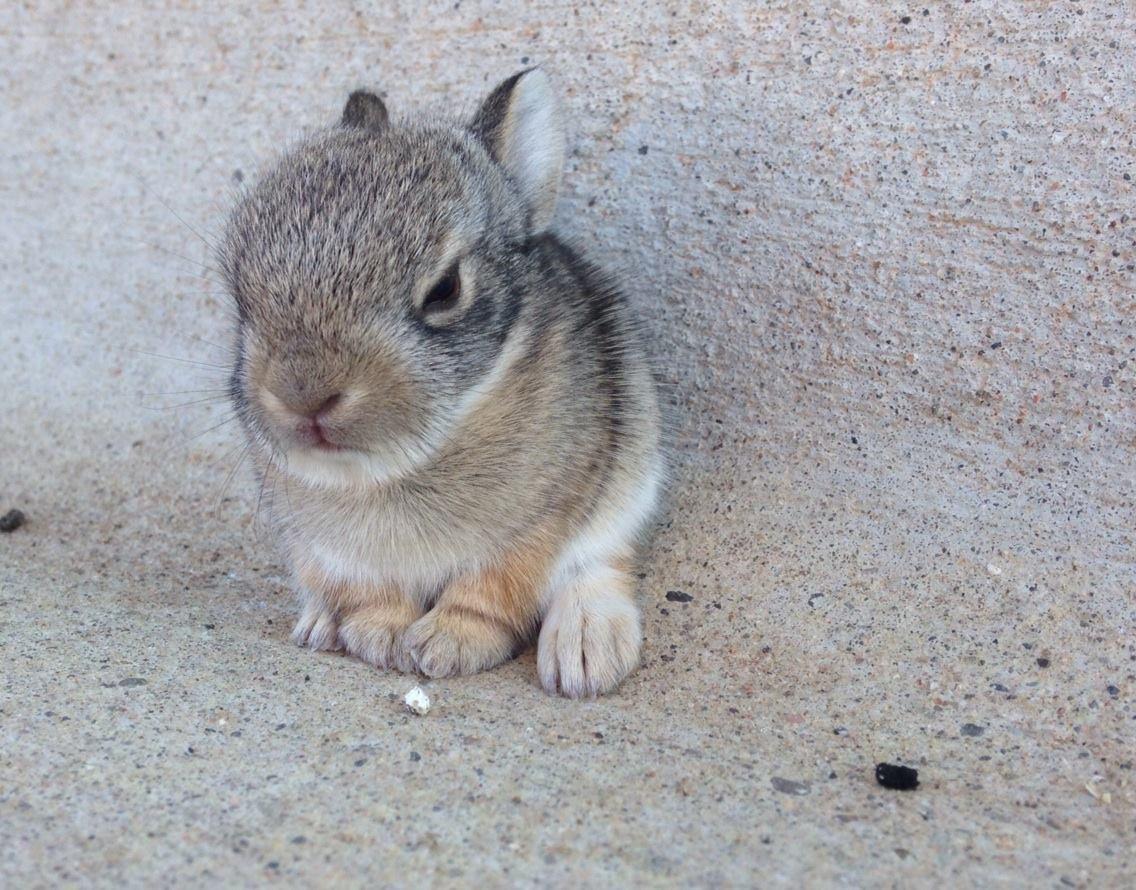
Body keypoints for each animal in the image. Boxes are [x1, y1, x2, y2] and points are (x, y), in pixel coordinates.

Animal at [219, 68, 663, 697]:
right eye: (239, 297)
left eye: (445, 290)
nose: (304, 394)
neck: (397, 461)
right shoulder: (330, 549)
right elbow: (370, 595)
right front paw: (379, 637)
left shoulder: (540, 520)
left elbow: (493, 591)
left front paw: (445, 646)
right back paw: (320, 625)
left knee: (600, 564)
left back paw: (583, 652)